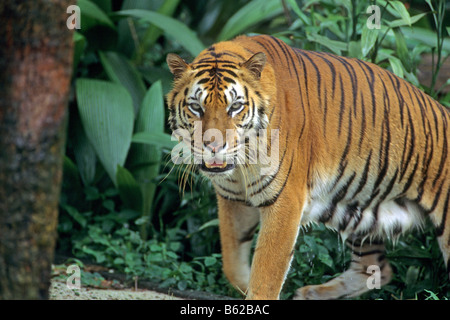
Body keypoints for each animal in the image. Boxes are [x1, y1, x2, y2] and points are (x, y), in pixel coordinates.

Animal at [166, 34, 450, 300]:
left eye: (235, 106)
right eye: (196, 107)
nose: (213, 146)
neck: (240, 168)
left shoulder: (285, 201)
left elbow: (267, 273)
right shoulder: (233, 200)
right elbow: (232, 265)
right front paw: (244, 285)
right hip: (359, 211)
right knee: (377, 269)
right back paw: (311, 293)